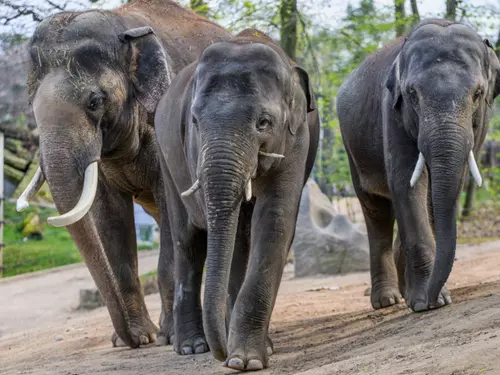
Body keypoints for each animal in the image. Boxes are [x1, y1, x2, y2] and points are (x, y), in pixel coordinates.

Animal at [16, 0, 231, 352]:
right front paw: (137, 338)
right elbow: (109, 216)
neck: (120, 24)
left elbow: (168, 208)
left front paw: (165, 337)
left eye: (94, 102)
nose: (128, 340)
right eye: (32, 108)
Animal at [154, 28, 320, 370]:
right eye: (195, 122)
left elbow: (274, 220)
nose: (221, 355)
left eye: (263, 122)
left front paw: (246, 360)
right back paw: (191, 346)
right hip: (165, 158)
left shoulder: (296, 140)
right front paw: (239, 358)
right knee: (187, 241)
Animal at [338, 19, 498, 314]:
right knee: (376, 211)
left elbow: (443, 188)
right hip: (351, 148)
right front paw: (426, 303)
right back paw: (387, 300)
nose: (433, 299)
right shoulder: (391, 109)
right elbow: (406, 181)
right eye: (412, 94)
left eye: (478, 94)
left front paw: (430, 299)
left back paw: (401, 292)